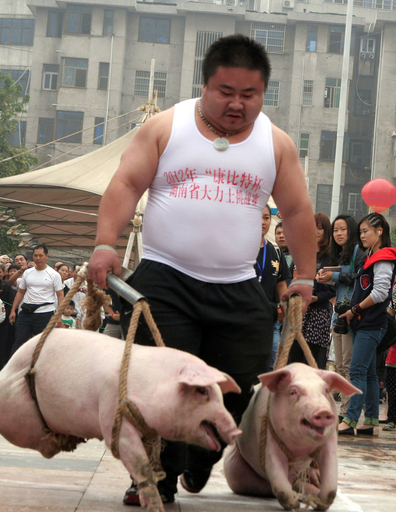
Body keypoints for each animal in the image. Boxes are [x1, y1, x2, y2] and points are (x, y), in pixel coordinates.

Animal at [0, 330, 241, 510]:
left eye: (220, 395)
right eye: (202, 391)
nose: (237, 432)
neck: (153, 384)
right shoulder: (114, 419)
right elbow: (141, 465)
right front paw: (154, 506)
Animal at [224, 362, 360, 510]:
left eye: (325, 390)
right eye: (293, 392)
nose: (323, 411)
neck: (301, 450)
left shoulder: (329, 441)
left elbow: (330, 481)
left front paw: (320, 505)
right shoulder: (270, 437)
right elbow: (279, 481)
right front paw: (294, 505)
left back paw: (315, 484)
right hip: (235, 474)